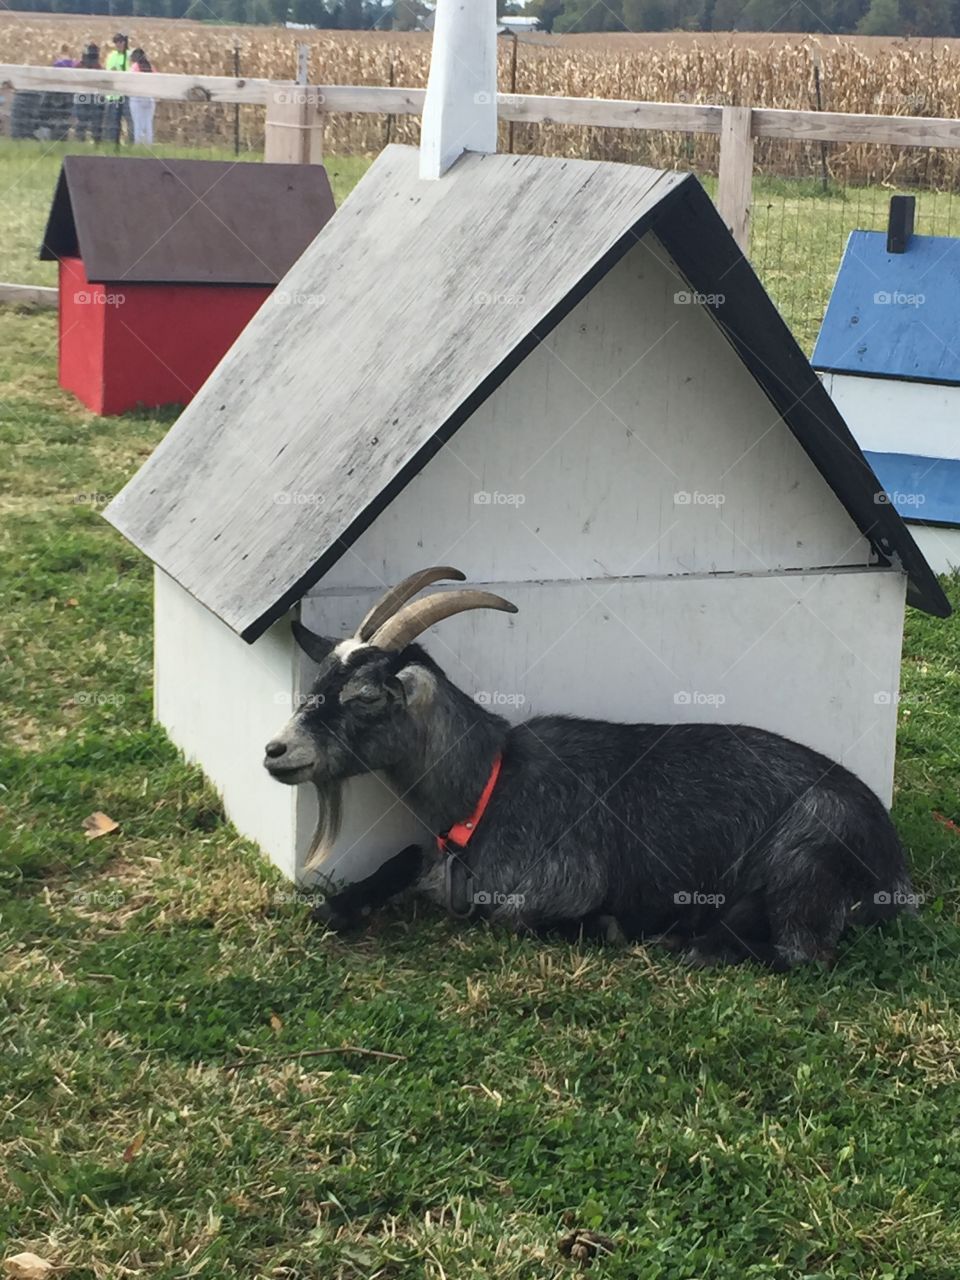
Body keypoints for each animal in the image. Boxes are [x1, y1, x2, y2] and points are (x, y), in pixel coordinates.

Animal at [263, 565, 916, 962]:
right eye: (319, 681)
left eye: (367, 697)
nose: (277, 752)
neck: (490, 785)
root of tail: (893, 862)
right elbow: (406, 861)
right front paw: (338, 906)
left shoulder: (563, 879)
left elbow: (502, 916)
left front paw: (605, 924)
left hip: (807, 850)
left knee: (799, 952)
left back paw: (684, 939)